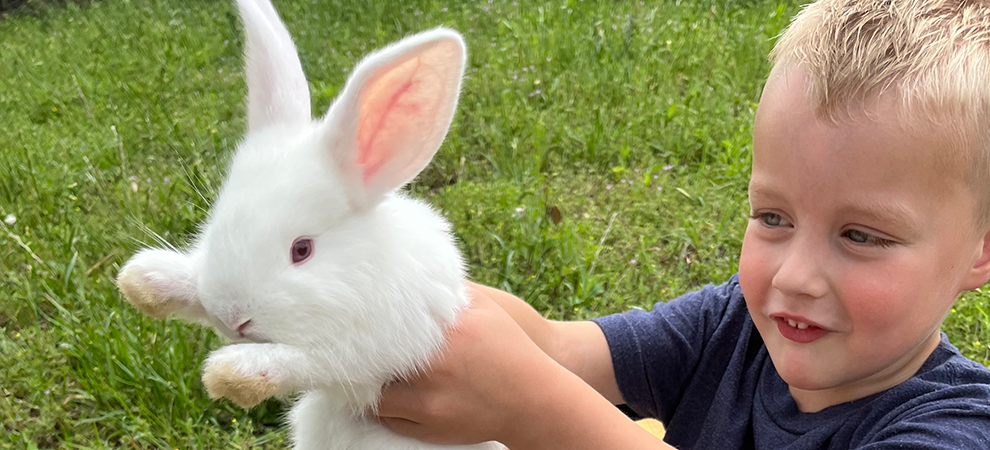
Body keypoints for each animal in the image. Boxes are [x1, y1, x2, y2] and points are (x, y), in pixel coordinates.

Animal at [115, 0, 504, 450]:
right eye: (216, 225)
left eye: (302, 250)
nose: (233, 318)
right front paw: (143, 280)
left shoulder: (378, 350)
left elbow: (311, 360)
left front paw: (233, 371)